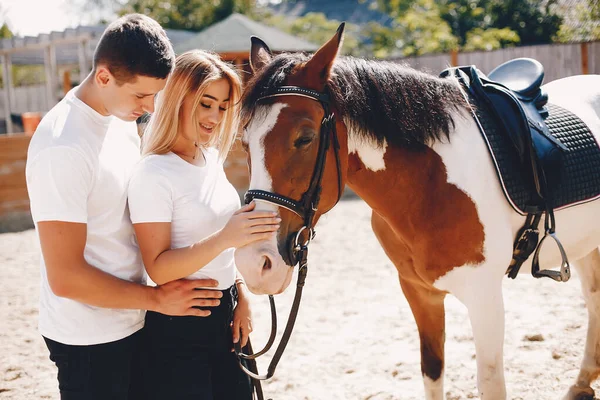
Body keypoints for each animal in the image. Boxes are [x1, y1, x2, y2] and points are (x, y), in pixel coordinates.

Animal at [233, 25, 600, 400]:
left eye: (305, 138)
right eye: (244, 142)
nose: (255, 264)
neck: (431, 183)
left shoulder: (484, 297)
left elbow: (490, 382)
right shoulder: (419, 292)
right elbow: (432, 370)